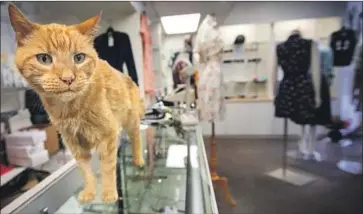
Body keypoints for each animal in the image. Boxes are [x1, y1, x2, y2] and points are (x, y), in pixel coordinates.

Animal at [8, 4, 145, 203]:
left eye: (79, 58)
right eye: (44, 59)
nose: (68, 78)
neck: (71, 109)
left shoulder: (109, 134)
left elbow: (108, 167)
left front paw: (109, 193)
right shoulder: (74, 143)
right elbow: (85, 170)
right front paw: (89, 192)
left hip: (131, 120)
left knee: (136, 138)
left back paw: (138, 160)